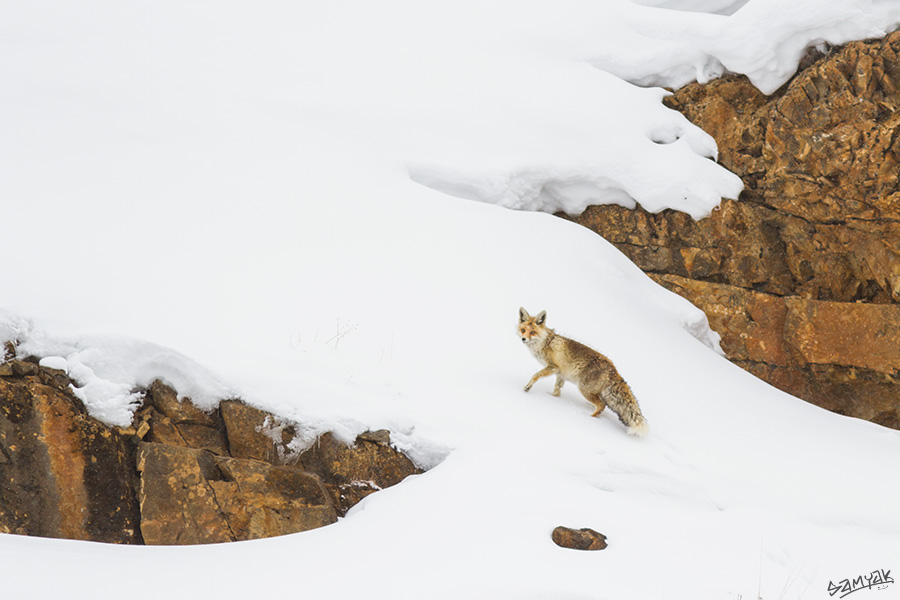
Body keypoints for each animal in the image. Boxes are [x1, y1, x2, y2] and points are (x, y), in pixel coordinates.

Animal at [516, 310, 652, 436]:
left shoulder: (553, 367)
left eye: (532, 332)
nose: (523, 339)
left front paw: (527, 387)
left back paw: (588, 419)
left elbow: (535, 375)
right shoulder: (560, 374)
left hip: (584, 389)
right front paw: (553, 397)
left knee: (602, 406)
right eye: (523, 330)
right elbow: (557, 390)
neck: (544, 343)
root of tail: (613, 368)